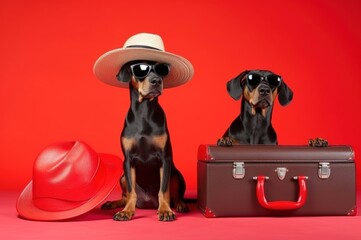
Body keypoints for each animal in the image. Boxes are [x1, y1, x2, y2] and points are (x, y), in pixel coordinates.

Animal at [100, 60, 187, 221]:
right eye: (141, 69)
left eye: (161, 69)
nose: (156, 81)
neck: (144, 111)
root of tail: (147, 202)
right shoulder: (128, 160)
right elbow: (131, 192)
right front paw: (126, 212)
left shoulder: (165, 158)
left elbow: (163, 190)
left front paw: (165, 210)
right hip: (122, 177)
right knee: (125, 196)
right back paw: (112, 203)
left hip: (177, 175)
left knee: (176, 196)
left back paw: (180, 204)